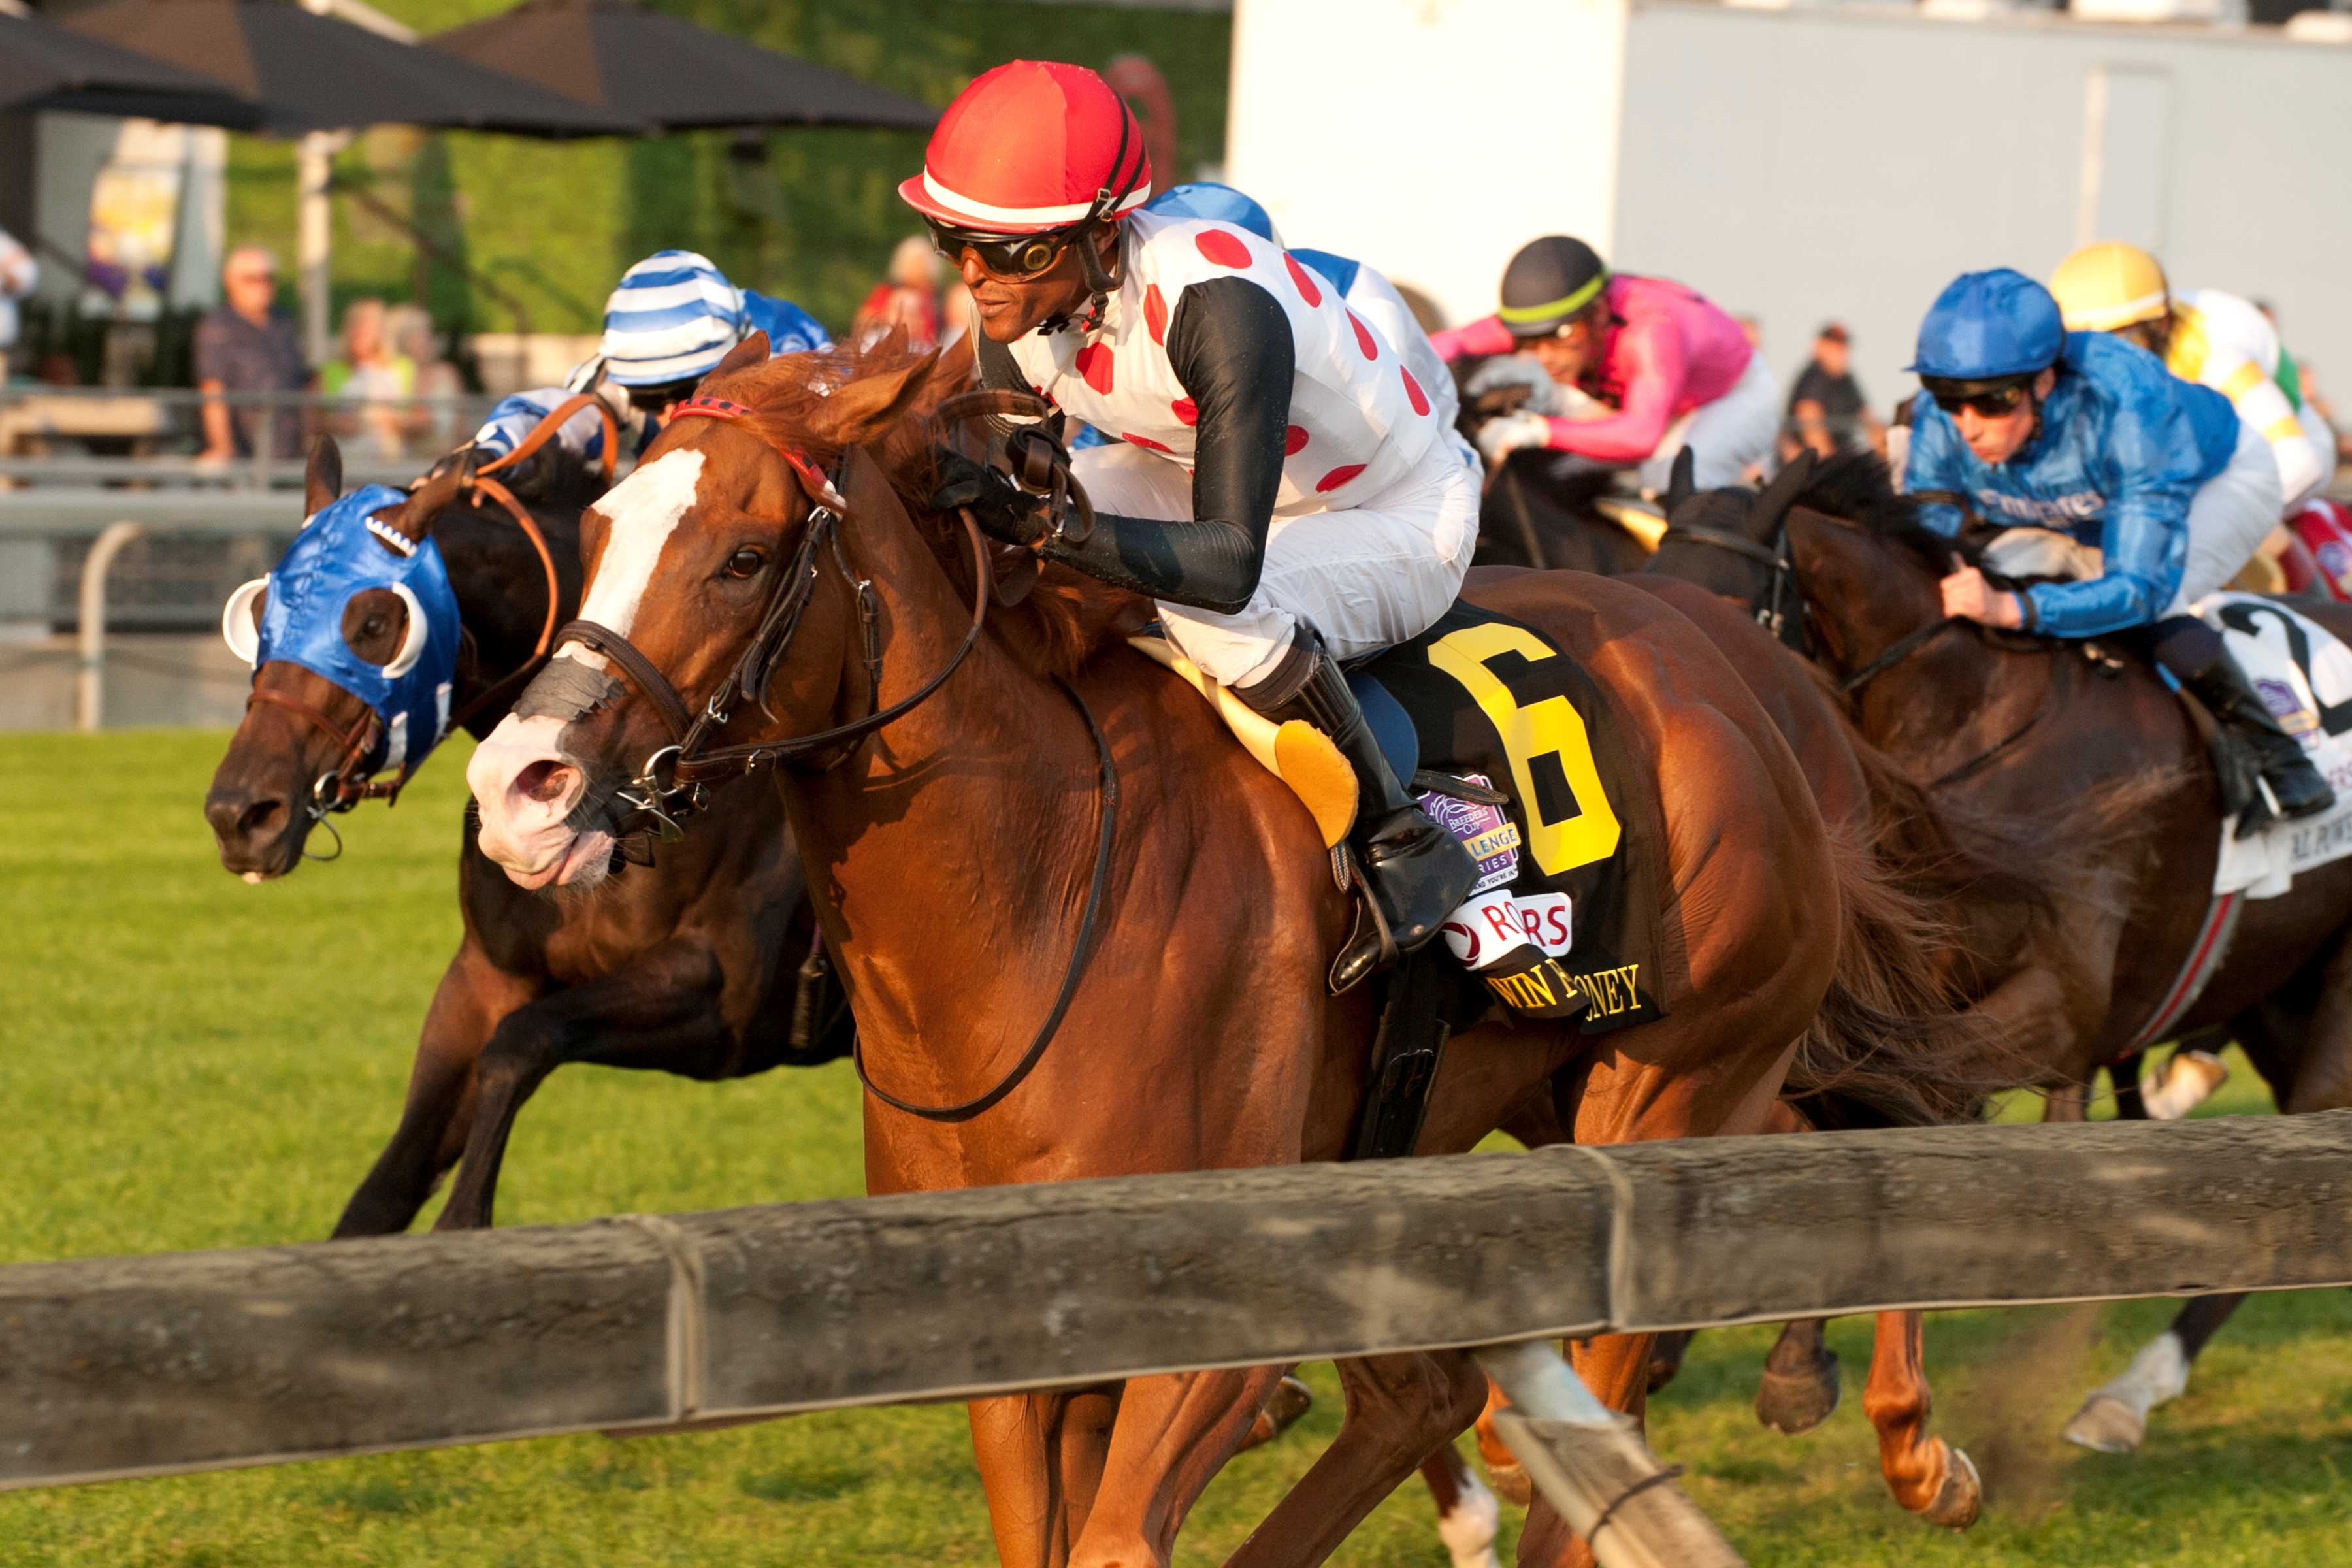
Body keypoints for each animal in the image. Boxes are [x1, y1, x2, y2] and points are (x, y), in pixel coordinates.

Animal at [202, 439, 847, 1241]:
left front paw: (465, 1216)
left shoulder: (722, 998)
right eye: (260, 613)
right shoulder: (482, 981)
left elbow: (521, 1044)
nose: (239, 814)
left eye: (375, 623)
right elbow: (384, 1191)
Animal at [468, 340, 1994, 1568]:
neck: (1035, 886)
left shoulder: (1209, 1319)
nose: (518, 785)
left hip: (1673, 1093)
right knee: (1434, 1395)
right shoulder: (1010, 1333)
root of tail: (1769, 686)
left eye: (742, 555)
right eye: (595, 529)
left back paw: (1902, 1441)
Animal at [1646, 453, 2352, 1457]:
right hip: (2277, 993)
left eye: (1721, 611)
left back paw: (2126, 1395)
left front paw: (1792, 1365)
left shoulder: (2055, 1008)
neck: (1966, 726)